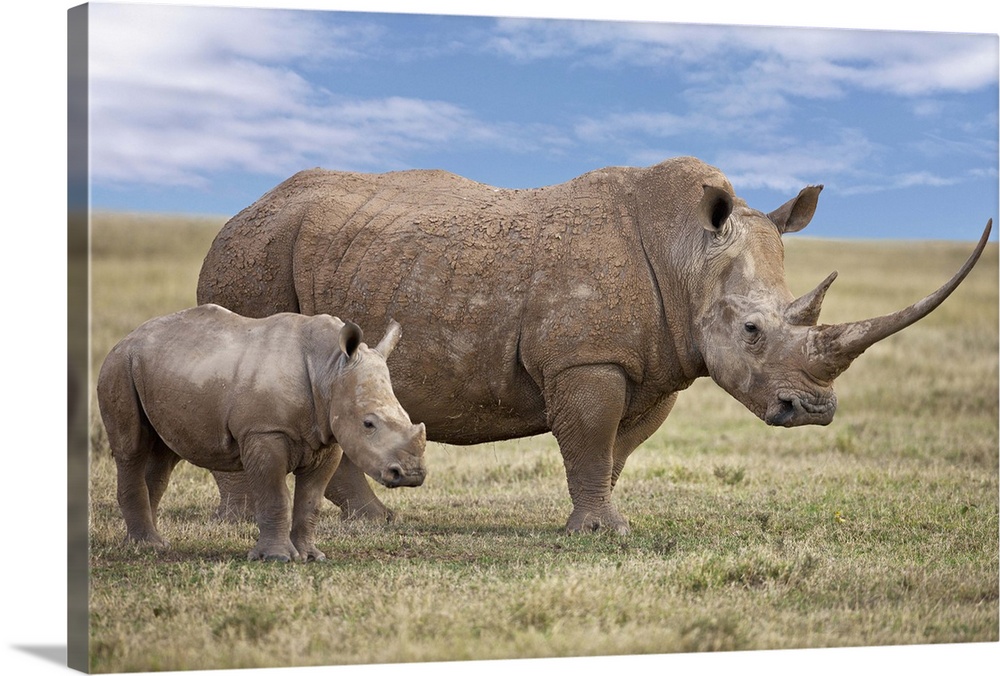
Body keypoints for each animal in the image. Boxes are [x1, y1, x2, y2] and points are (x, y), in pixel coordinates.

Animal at [99, 306, 428, 560]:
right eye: (368, 424)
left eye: (408, 418)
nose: (411, 475)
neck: (329, 368)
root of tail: (126, 338)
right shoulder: (264, 432)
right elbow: (274, 495)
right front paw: (277, 558)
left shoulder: (327, 438)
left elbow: (311, 501)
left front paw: (310, 556)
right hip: (118, 366)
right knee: (132, 449)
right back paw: (146, 547)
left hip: (160, 368)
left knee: (164, 456)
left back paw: (155, 543)